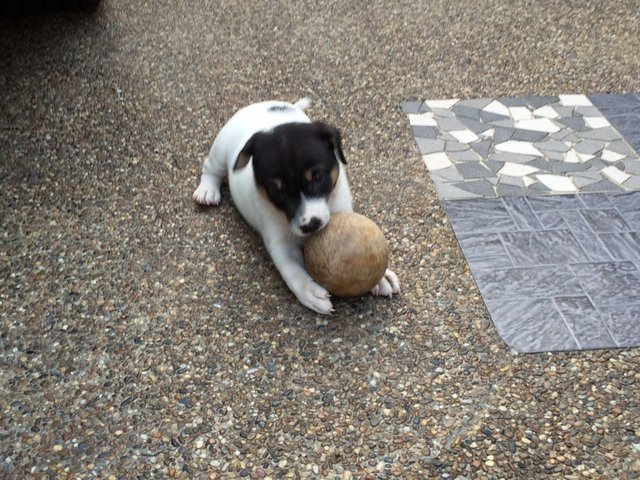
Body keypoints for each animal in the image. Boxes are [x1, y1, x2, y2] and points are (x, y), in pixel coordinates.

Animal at [192, 99, 398, 314]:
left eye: (317, 178)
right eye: (277, 190)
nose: (310, 226)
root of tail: (263, 104)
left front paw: (381, 278)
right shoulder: (281, 243)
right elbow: (292, 271)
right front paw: (309, 291)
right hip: (221, 148)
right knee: (210, 168)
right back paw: (207, 190)